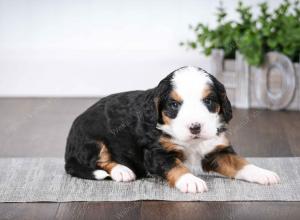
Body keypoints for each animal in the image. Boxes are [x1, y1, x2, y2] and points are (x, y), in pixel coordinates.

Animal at [64, 66, 280, 192]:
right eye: (174, 105)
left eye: (208, 101)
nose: (195, 127)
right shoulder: (156, 152)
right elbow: (175, 165)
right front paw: (190, 181)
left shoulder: (216, 150)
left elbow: (240, 163)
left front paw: (262, 173)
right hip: (92, 140)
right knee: (100, 160)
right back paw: (122, 171)